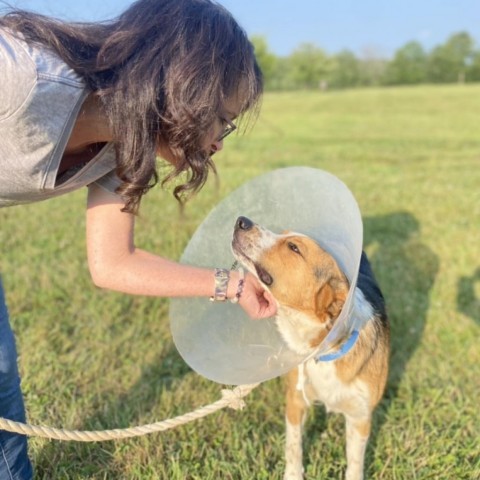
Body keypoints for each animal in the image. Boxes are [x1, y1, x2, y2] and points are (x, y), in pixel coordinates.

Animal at [232, 217, 390, 480]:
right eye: (283, 234)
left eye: (294, 247)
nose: (241, 221)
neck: (325, 353)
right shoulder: (295, 400)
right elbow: (293, 446)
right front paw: (293, 475)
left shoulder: (360, 416)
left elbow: (354, 462)